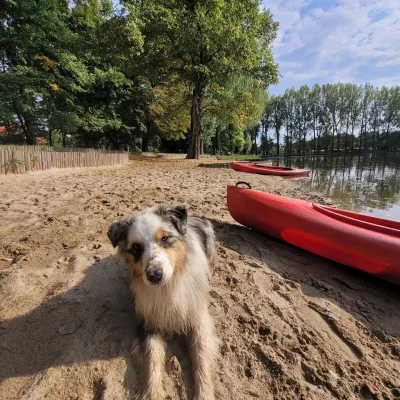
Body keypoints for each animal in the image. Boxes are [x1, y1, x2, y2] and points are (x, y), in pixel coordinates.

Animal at [107, 205, 219, 400]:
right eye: (136, 247)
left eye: (165, 238)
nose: (154, 275)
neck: (168, 286)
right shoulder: (149, 321)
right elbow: (152, 357)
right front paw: (153, 393)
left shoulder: (199, 317)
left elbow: (201, 357)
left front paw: (204, 394)